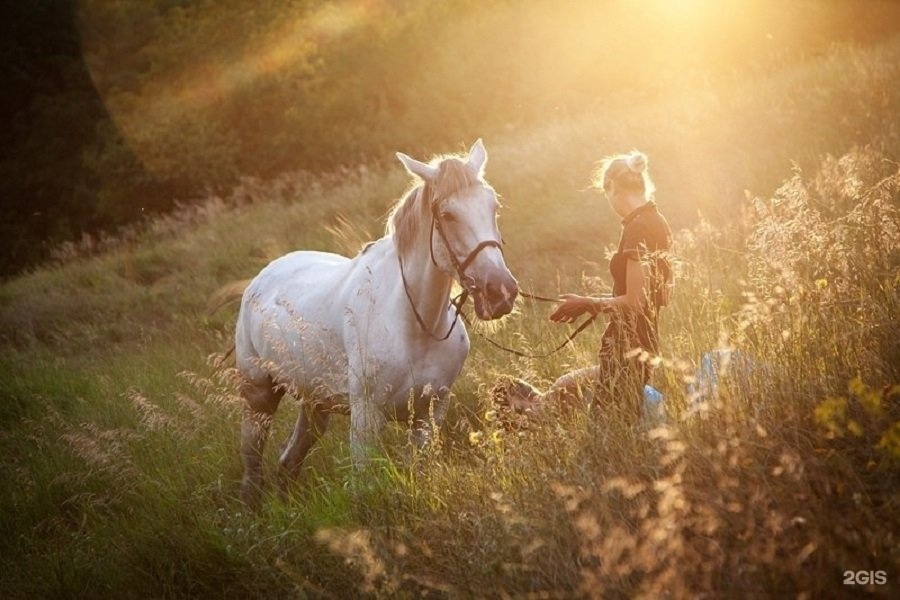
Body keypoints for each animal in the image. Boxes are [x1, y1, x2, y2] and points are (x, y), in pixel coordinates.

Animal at [236, 141, 516, 502]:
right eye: (448, 215)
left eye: (493, 206)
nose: (501, 291)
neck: (415, 326)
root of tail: (259, 279)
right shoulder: (366, 419)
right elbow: (363, 486)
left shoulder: (428, 415)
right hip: (258, 396)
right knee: (252, 465)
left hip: (314, 404)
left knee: (288, 461)